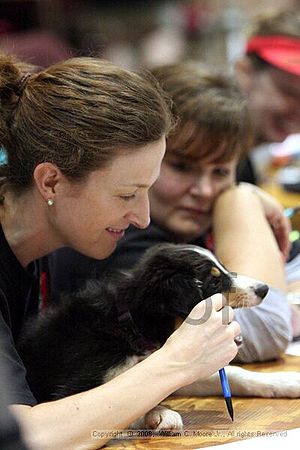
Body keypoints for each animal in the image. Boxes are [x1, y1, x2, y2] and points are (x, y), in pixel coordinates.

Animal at [17, 244, 300, 430]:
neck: (134, 326)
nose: (263, 289)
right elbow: (122, 402)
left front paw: (285, 381)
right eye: (214, 281)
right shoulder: (73, 388)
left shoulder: (174, 367)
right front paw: (161, 415)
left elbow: (235, 373)